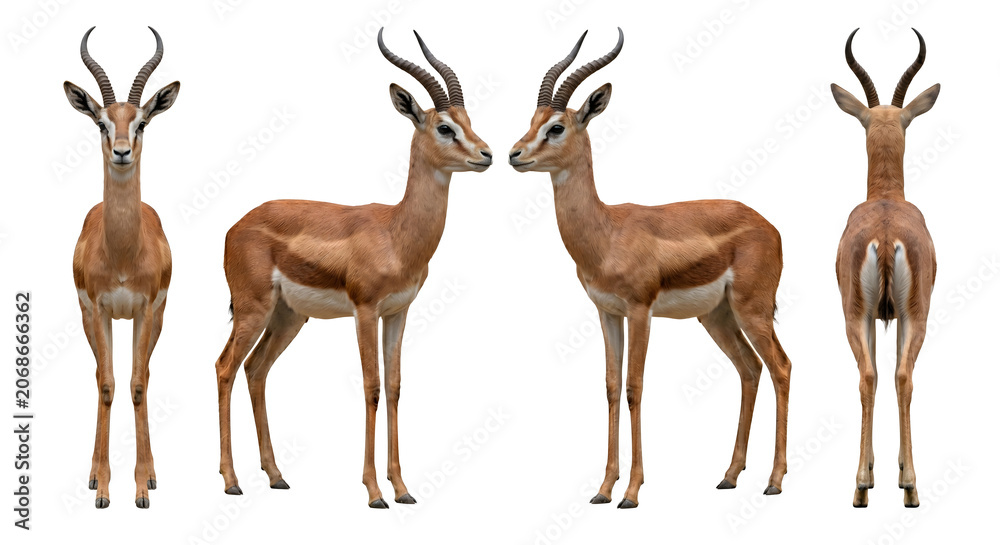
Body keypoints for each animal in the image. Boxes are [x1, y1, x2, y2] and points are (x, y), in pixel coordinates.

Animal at [214, 29, 492, 508]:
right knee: (226, 367)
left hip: (289, 316)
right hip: (254, 309)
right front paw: (375, 491)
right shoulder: (364, 311)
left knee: (256, 370)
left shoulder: (398, 312)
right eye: (444, 127)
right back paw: (231, 480)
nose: (486, 154)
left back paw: (276, 475)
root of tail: (237, 225)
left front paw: (403, 488)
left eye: (468, 121)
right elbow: (371, 386)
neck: (397, 232)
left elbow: (395, 386)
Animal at [508, 29, 792, 508]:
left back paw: (774, 480)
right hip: (716, 316)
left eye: (556, 127)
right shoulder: (607, 312)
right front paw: (604, 488)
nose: (514, 154)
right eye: (532, 120)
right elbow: (610, 386)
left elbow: (635, 386)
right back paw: (729, 475)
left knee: (781, 368)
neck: (606, 232)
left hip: (751, 310)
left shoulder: (640, 311)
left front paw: (632, 491)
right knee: (750, 370)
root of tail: (768, 226)